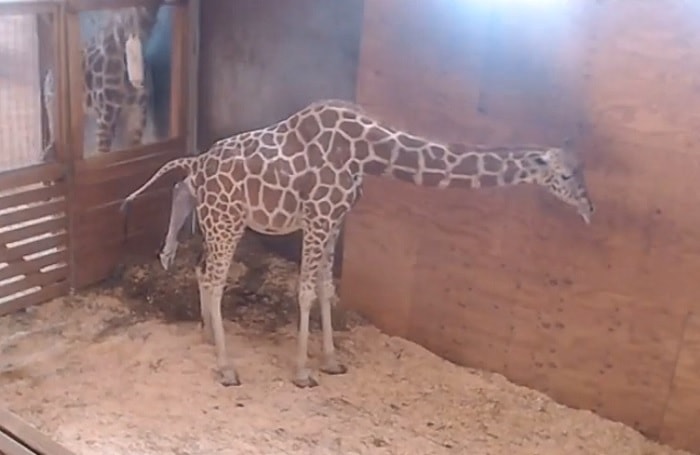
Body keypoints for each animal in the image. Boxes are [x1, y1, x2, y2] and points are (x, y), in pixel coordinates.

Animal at [42, 1, 162, 161]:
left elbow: (136, 153)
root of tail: (49, 74)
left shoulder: (137, 113)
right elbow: (103, 155)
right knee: (55, 136)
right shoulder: (106, 115)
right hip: (55, 108)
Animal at [120, 99, 595, 388]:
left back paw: (206, 336)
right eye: (565, 175)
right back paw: (226, 367)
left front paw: (331, 361)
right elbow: (305, 291)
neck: (368, 151)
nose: (591, 210)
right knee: (213, 278)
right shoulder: (318, 216)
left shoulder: (336, 219)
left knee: (201, 264)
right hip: (227, 220)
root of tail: (198, 162)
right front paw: (302, 371)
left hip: (217, 219)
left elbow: (327, 288)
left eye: (582, 171)